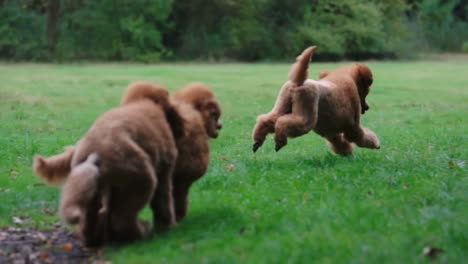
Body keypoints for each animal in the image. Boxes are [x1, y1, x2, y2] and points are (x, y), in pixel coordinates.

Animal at [32, 82, 183, 248]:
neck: (142, 101)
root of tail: (95, 151)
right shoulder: (164, 170)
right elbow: (163, 202)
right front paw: (167, 226)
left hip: (96, 191)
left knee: (91, 219)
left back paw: (93, 239)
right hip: (140, 181)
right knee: (122, 218)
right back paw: (140, 233)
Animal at [252, 46, 380, 156]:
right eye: (365, 93)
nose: (367, 107)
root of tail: (299, 82)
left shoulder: (331, 132)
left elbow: (339, 143)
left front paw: (347, 154)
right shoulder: (352, 126)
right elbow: (360, 136)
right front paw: (376, 144)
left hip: (283, 104)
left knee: (268, 120)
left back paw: (258, 141)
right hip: (307, 115)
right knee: (284, 122)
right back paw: (279, 141)